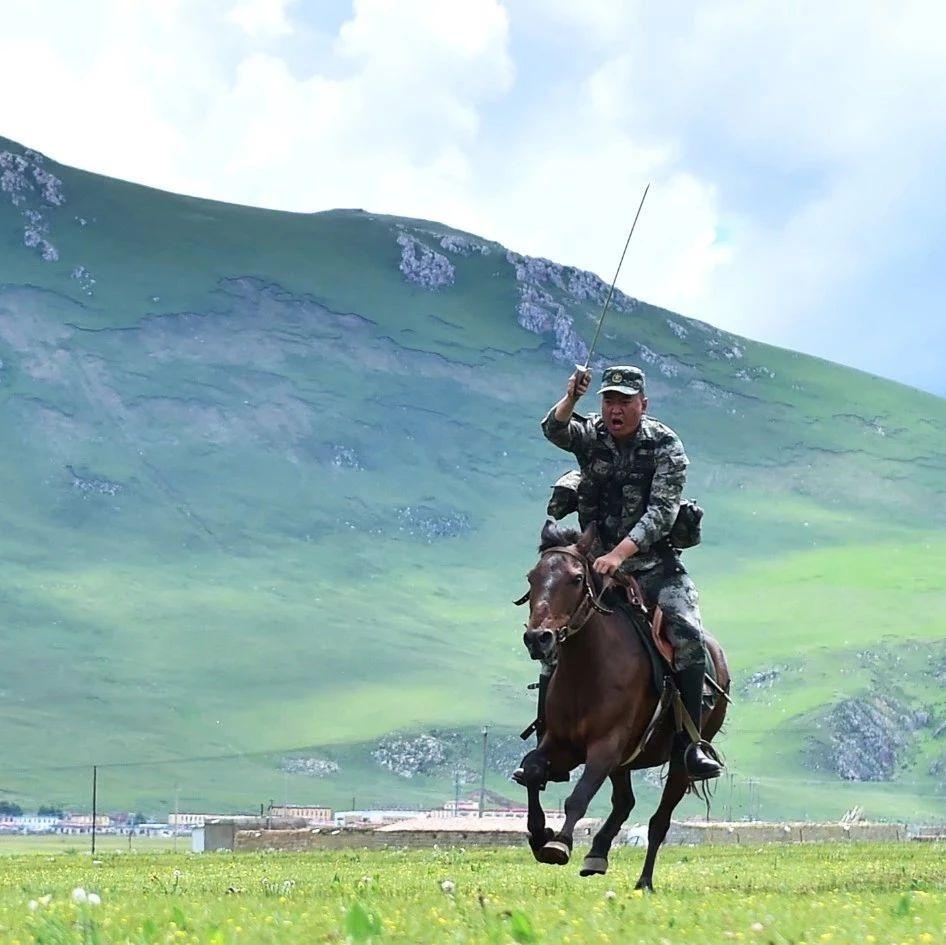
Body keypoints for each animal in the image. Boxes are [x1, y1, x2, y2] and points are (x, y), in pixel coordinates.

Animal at [516, 520, 732, 888]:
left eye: (576, 578)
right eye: (532, 577)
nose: (538, 638)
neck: (587, 669)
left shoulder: (606, 746)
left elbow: (579, 796)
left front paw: (559, 843)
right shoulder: (561, 744)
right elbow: (532, 771)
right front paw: (539, 833)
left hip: (677, 760)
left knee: (659, 821)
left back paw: (643, 881)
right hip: (624, 764)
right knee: (625, 803)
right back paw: (597, 854)